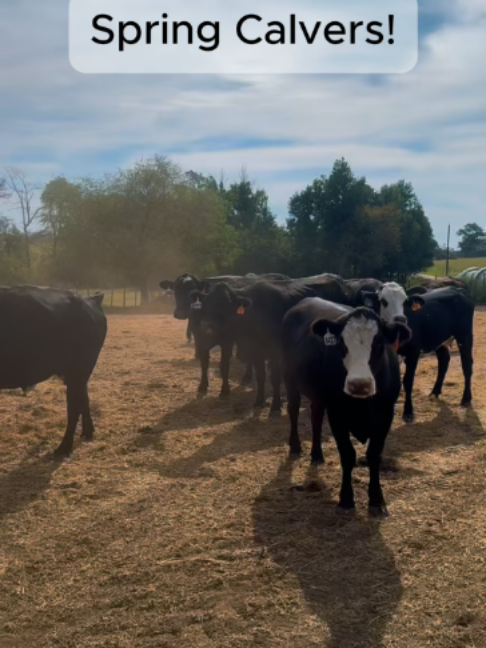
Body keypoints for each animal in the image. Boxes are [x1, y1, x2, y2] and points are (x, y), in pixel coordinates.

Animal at [0, 285, 107, 458]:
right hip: (78, 375)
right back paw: (87, 433)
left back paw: (64, 448)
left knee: (74, 408)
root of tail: (90, 300)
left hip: (78, 370)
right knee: (84, 400)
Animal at [281, 298, 412, 516]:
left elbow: (374, 454)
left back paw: (317, 454)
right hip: (289, 378)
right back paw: (296, 446)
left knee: (316, 418)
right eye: (342, 343)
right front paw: (346, 499)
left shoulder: (386, 413)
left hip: (318, 396)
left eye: (378, 343)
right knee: (293, 410)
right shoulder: (337, 413)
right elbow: (347, 454)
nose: (359, 384)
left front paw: (377, 501)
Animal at [396, 286, 474, 422]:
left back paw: (465, 399)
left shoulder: (413, 352)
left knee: (467, 365)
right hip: (441, 339)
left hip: (464, 335)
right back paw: (435, 391)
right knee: (444, 361)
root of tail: (458, 289)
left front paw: (408, 412)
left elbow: (408, 381)